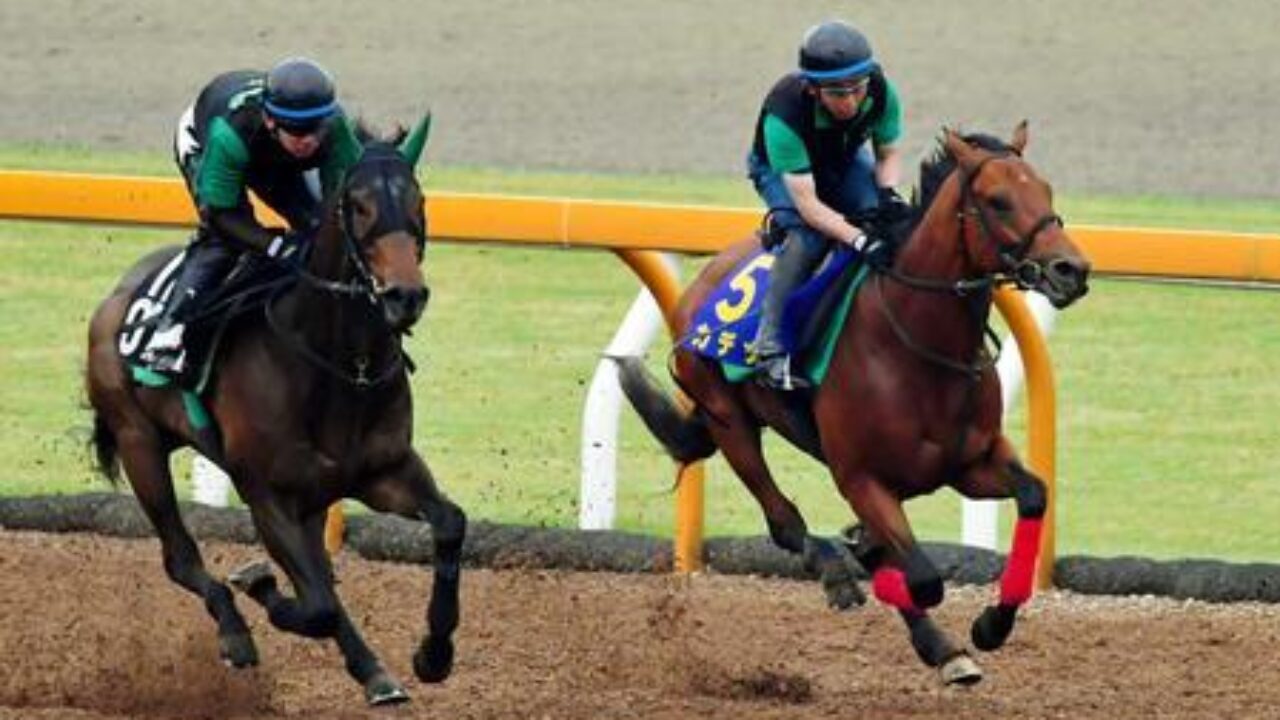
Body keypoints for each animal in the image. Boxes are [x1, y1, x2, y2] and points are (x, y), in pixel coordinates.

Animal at [85, 116, 465, 702]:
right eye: (357, 205)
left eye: (418, 200)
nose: (405, 296)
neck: (341, 364)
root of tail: (113, 300)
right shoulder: (266, 494)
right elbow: (316, 605)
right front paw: (257, 583)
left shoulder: (383, 471)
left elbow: (449, 524)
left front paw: (434, 654)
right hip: (138, 444)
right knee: (181, 558)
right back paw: (236, 633)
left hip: (309, 497)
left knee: (318, 573)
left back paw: (375, 673)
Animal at [616, 121, 1090, 676]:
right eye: (998, 201)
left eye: (1047, 191)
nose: (1071, 269)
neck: (917, 344)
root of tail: (702, 286)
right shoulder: (861, 477)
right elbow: (922, 578)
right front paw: (939, 639)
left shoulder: (970, 463)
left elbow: (1034, 494)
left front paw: (991, 625)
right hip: (728, 418)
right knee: (784, 521)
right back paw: (839, 575)